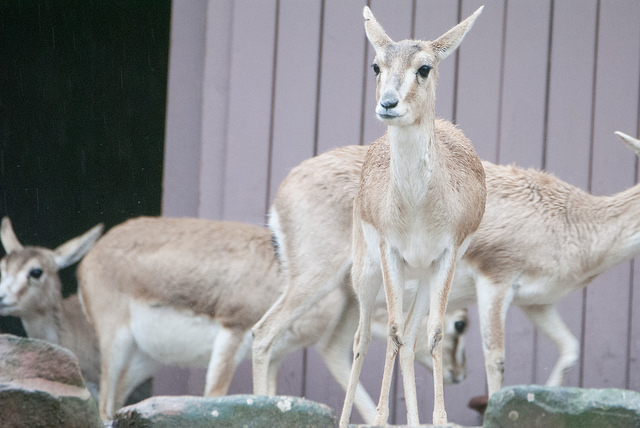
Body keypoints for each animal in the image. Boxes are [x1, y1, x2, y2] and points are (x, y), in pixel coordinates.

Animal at [77, 216, 468, 422]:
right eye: (460, 323)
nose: (459, 374)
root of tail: (92, 254)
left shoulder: (275, 357)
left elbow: (267, 398)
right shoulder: (234, 335)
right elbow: (215, 396)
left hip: (142, 360)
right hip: (115, 346)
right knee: (103, 405)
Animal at [342, 7, 486, 426]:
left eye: (424, 67)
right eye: (376, 65)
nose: (388, 103)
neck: (419, 207)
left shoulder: (447, 256)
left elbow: (431, 333)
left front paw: (437, 418)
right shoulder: (390, 251)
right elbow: (390, 331)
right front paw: (378, 417)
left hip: (421, 277)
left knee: (409, 339)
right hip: (367, 271)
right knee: (362, 339)